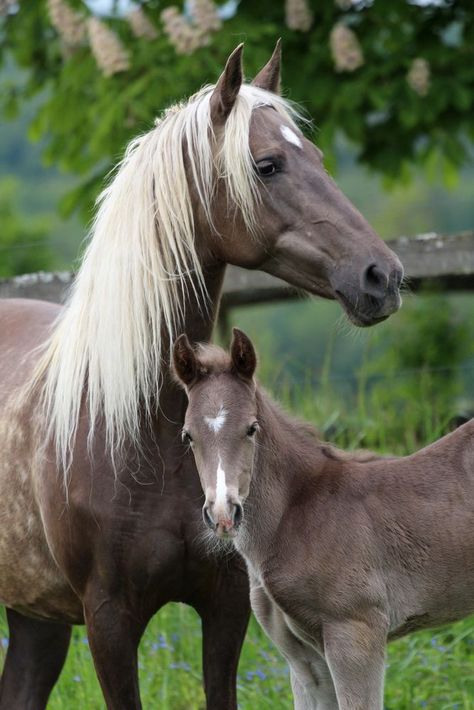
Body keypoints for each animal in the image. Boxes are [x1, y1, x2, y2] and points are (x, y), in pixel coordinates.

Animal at [0, 41, 402, 708]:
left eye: (318, 158)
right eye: (266, 165)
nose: (382, 276)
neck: (144, 432)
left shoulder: (226, 607)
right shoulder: (109, 621)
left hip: (36, 619)